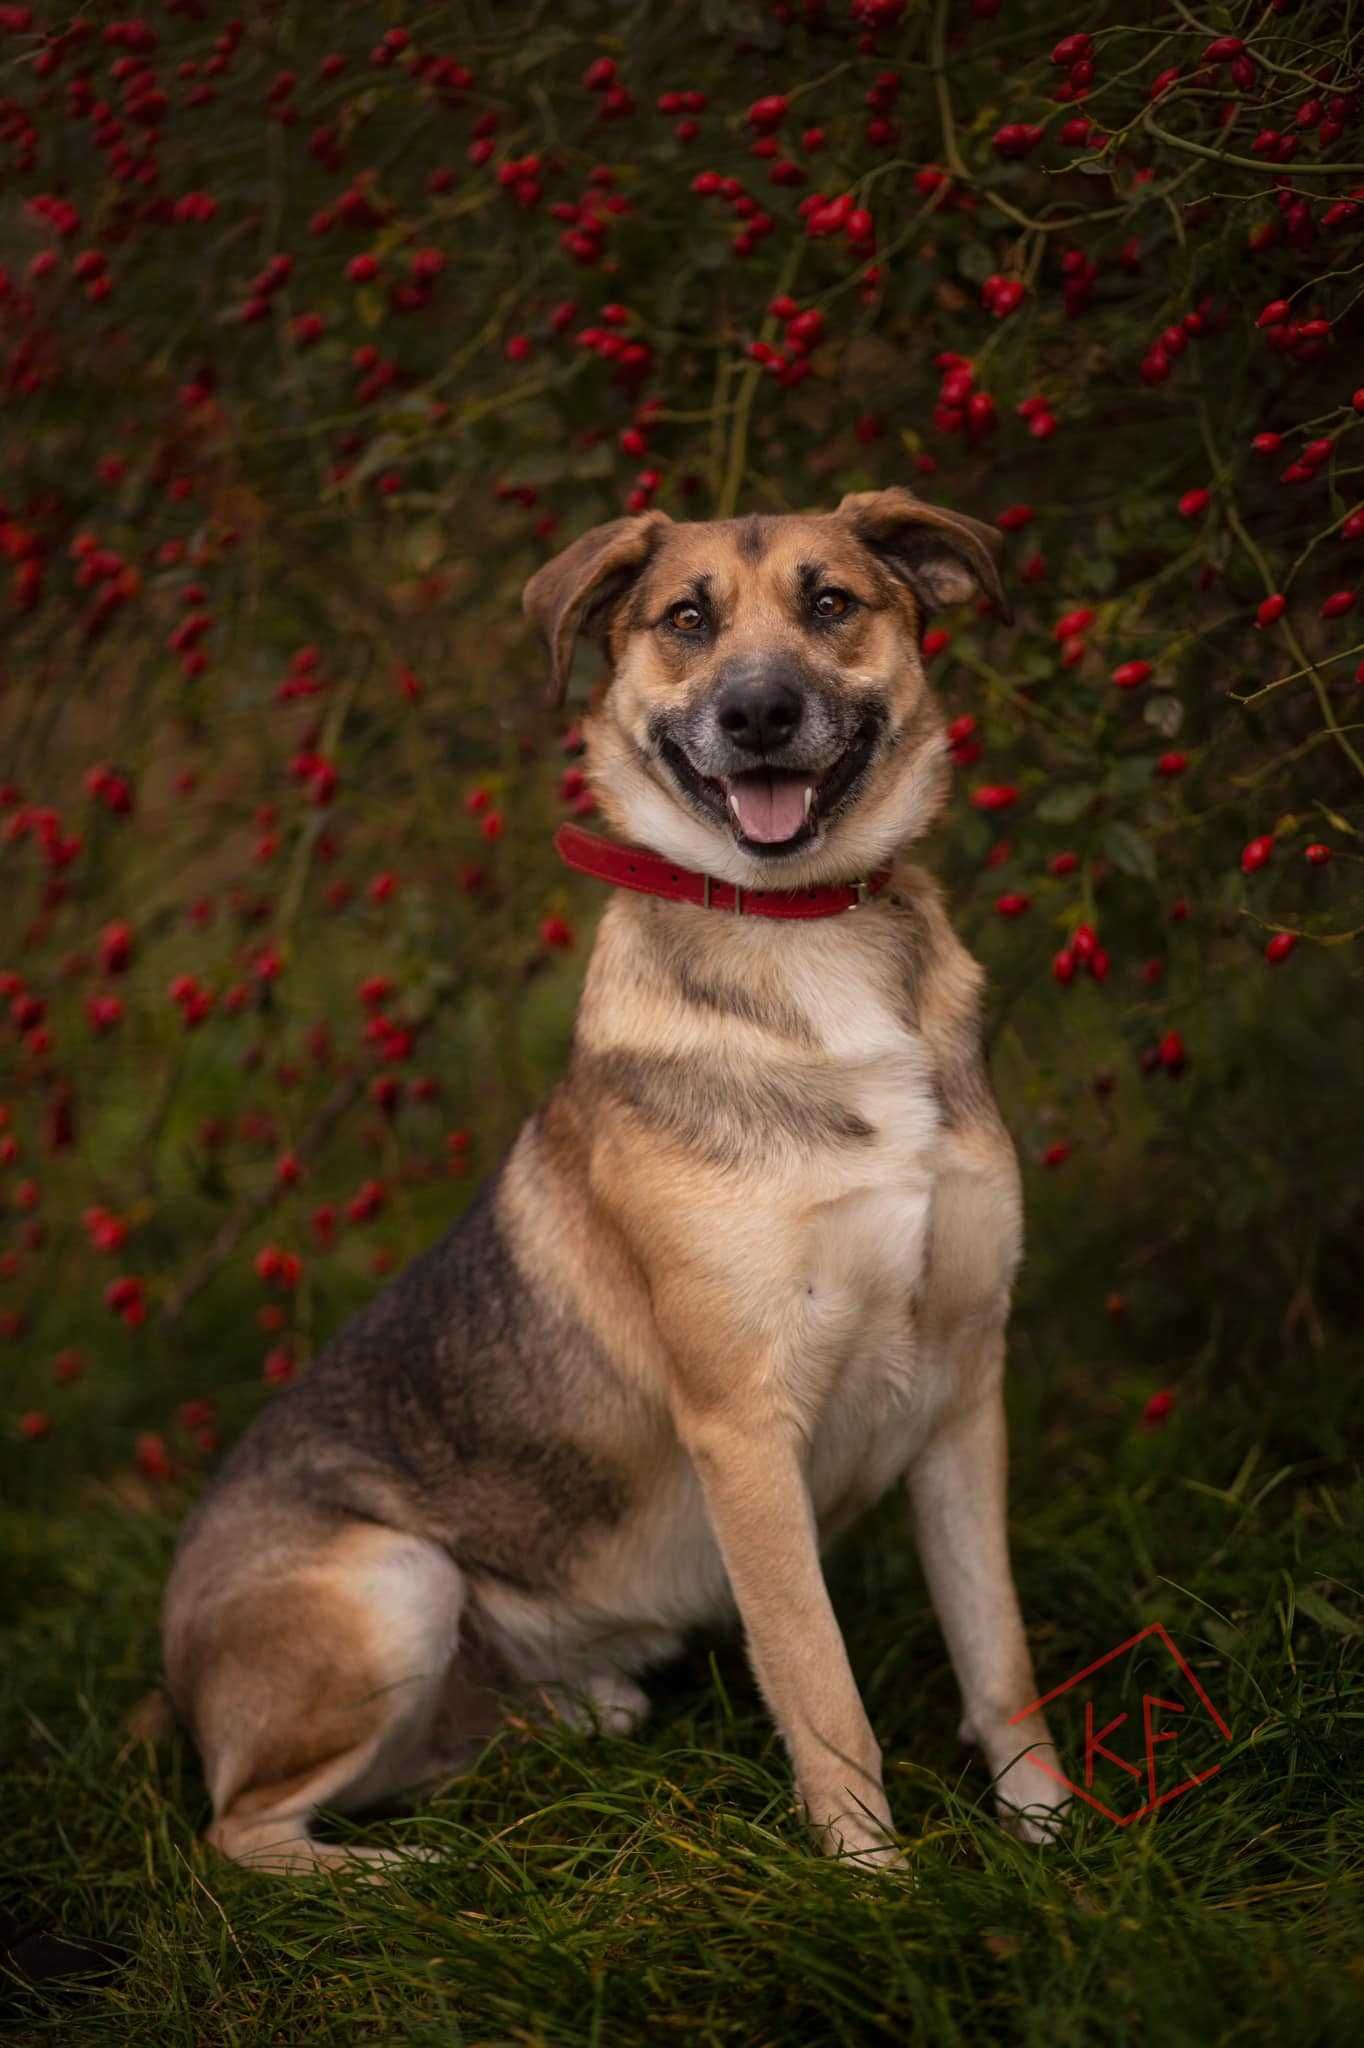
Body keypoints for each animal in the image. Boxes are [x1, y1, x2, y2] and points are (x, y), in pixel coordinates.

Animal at [161, 491, 1064, 1875]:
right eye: (685, 619)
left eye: (830, 602)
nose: (758, 714)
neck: (804, 938)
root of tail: (172, 1664)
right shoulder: (744, 1427)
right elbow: (821, 1686)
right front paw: (876, 1881)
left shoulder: (964, 1385)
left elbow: (997, 1651)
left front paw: (1058, 1835)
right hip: (394, 1583)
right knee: (239, 1826)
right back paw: (399, 1872)